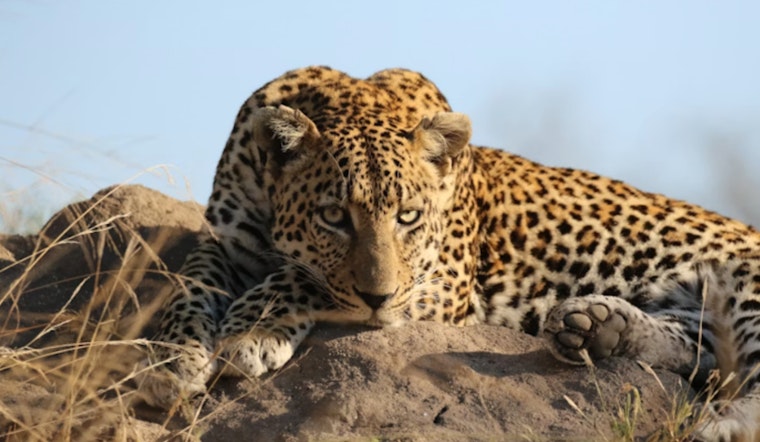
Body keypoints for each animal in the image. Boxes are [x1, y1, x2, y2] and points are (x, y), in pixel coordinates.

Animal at [138, 66, 760, 441]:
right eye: (334, 217)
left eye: (409, 217)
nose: (378, 296)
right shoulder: (228, 242)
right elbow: (190, 281)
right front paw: (170, 360)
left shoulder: (439, 284)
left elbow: (306, 278)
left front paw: (249, 331)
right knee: (702, 350)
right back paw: (593, 327)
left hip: (746, 279)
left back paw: (717, 428)